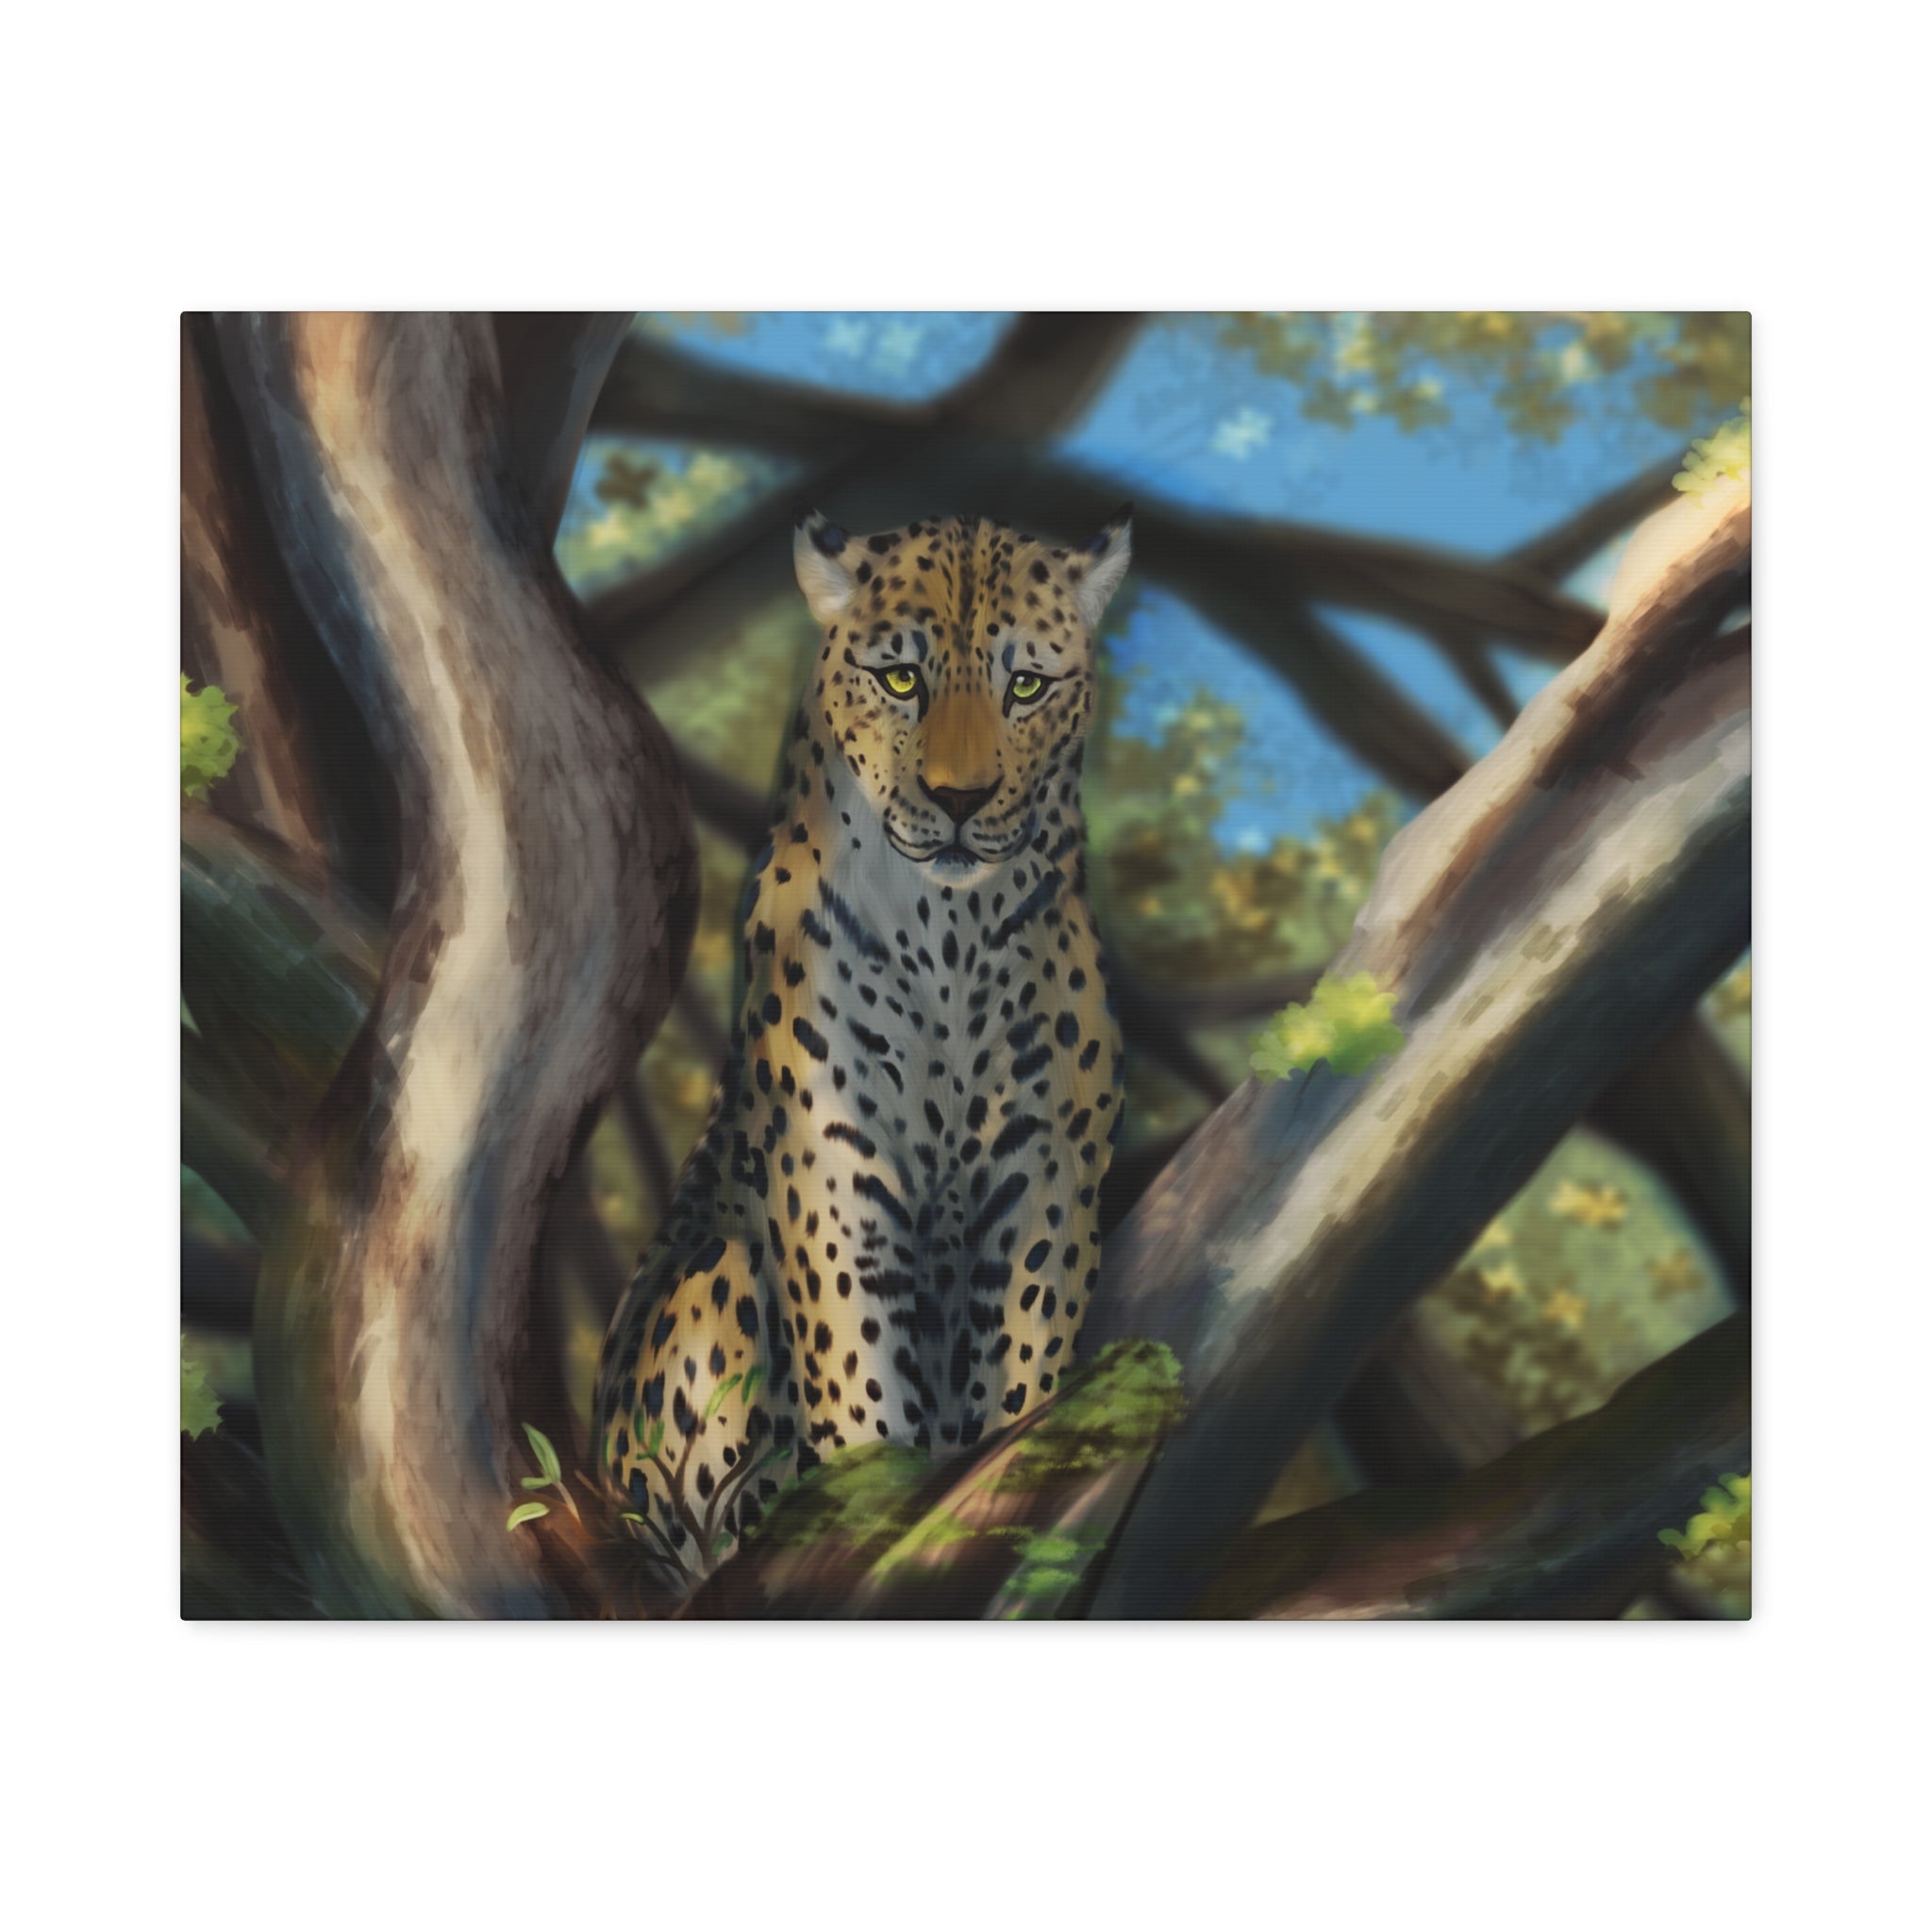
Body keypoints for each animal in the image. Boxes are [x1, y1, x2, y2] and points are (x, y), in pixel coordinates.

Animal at [592, 506, 1133, 1596]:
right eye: (900, 679)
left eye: (1026, 685)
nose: (961, 798)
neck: (948, 932)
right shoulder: (831, 1163)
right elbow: (856, 1364)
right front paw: (874, 1504)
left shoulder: (1046, 1170)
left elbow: (1026, 1356)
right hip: (710, 1283)